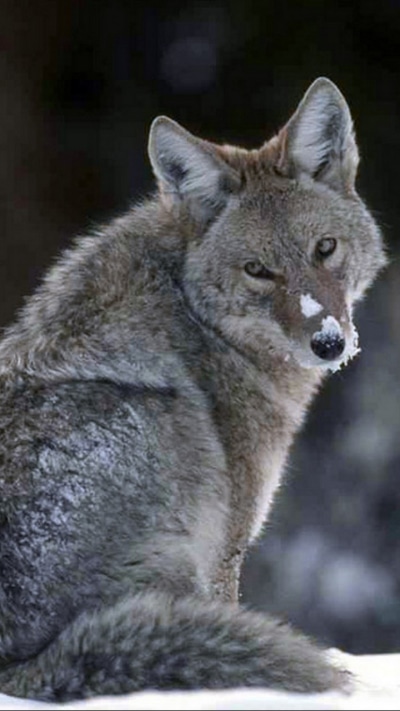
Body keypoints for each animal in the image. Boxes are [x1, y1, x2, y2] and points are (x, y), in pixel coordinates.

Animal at [0, 78, 385, 701]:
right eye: (258, 271)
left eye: (324, 248)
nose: (329, 342)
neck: (192, 313)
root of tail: (19, 670)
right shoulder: (228, 546)